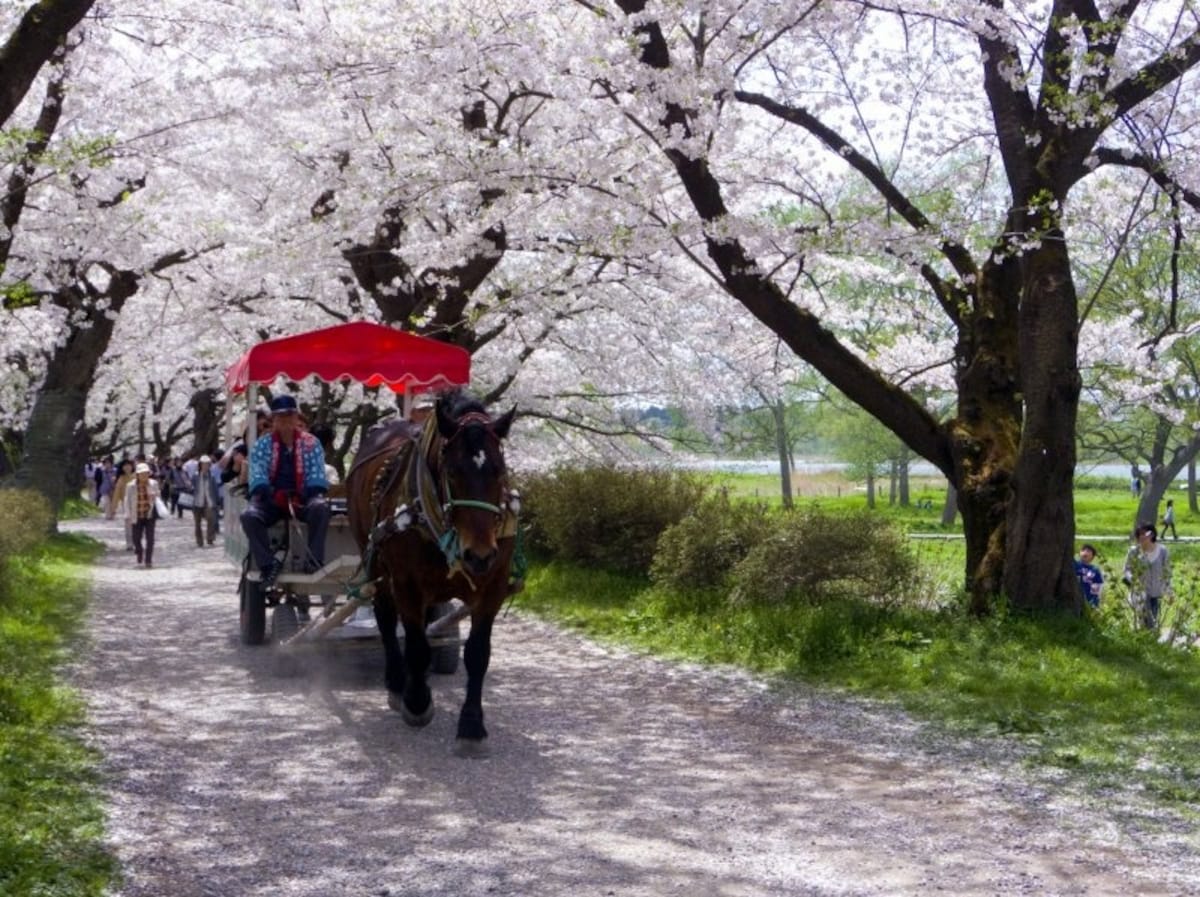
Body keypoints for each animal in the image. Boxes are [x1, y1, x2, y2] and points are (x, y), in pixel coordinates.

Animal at [345, 388, 518, 753]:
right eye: (452, 472)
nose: (479, 555)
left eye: (499, 471)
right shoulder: (406, 583)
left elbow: (477, 654)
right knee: (386, 618)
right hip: (375, 560)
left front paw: (471, 726)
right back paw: (400, 682)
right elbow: (415, 645)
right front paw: (417, 702)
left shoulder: (493, 585)